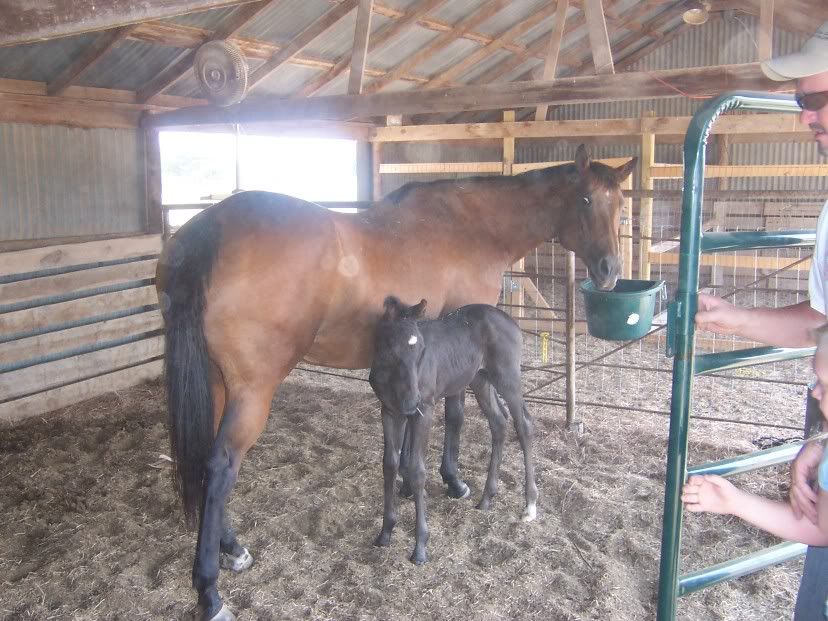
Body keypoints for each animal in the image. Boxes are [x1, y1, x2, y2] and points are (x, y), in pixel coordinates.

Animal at [369, 296, 537, 565]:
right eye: (393, 348)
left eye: (421, 349)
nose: (412, 402)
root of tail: (511, 321)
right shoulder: (389, 411)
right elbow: (389, 465)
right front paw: (385, 532)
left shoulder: (425, 410)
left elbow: (417, 470)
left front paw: (420, 547)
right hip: (480, 379)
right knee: (499, 422)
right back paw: (486, 499)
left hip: (507, 377)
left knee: (524, 425)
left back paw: (530, 504)